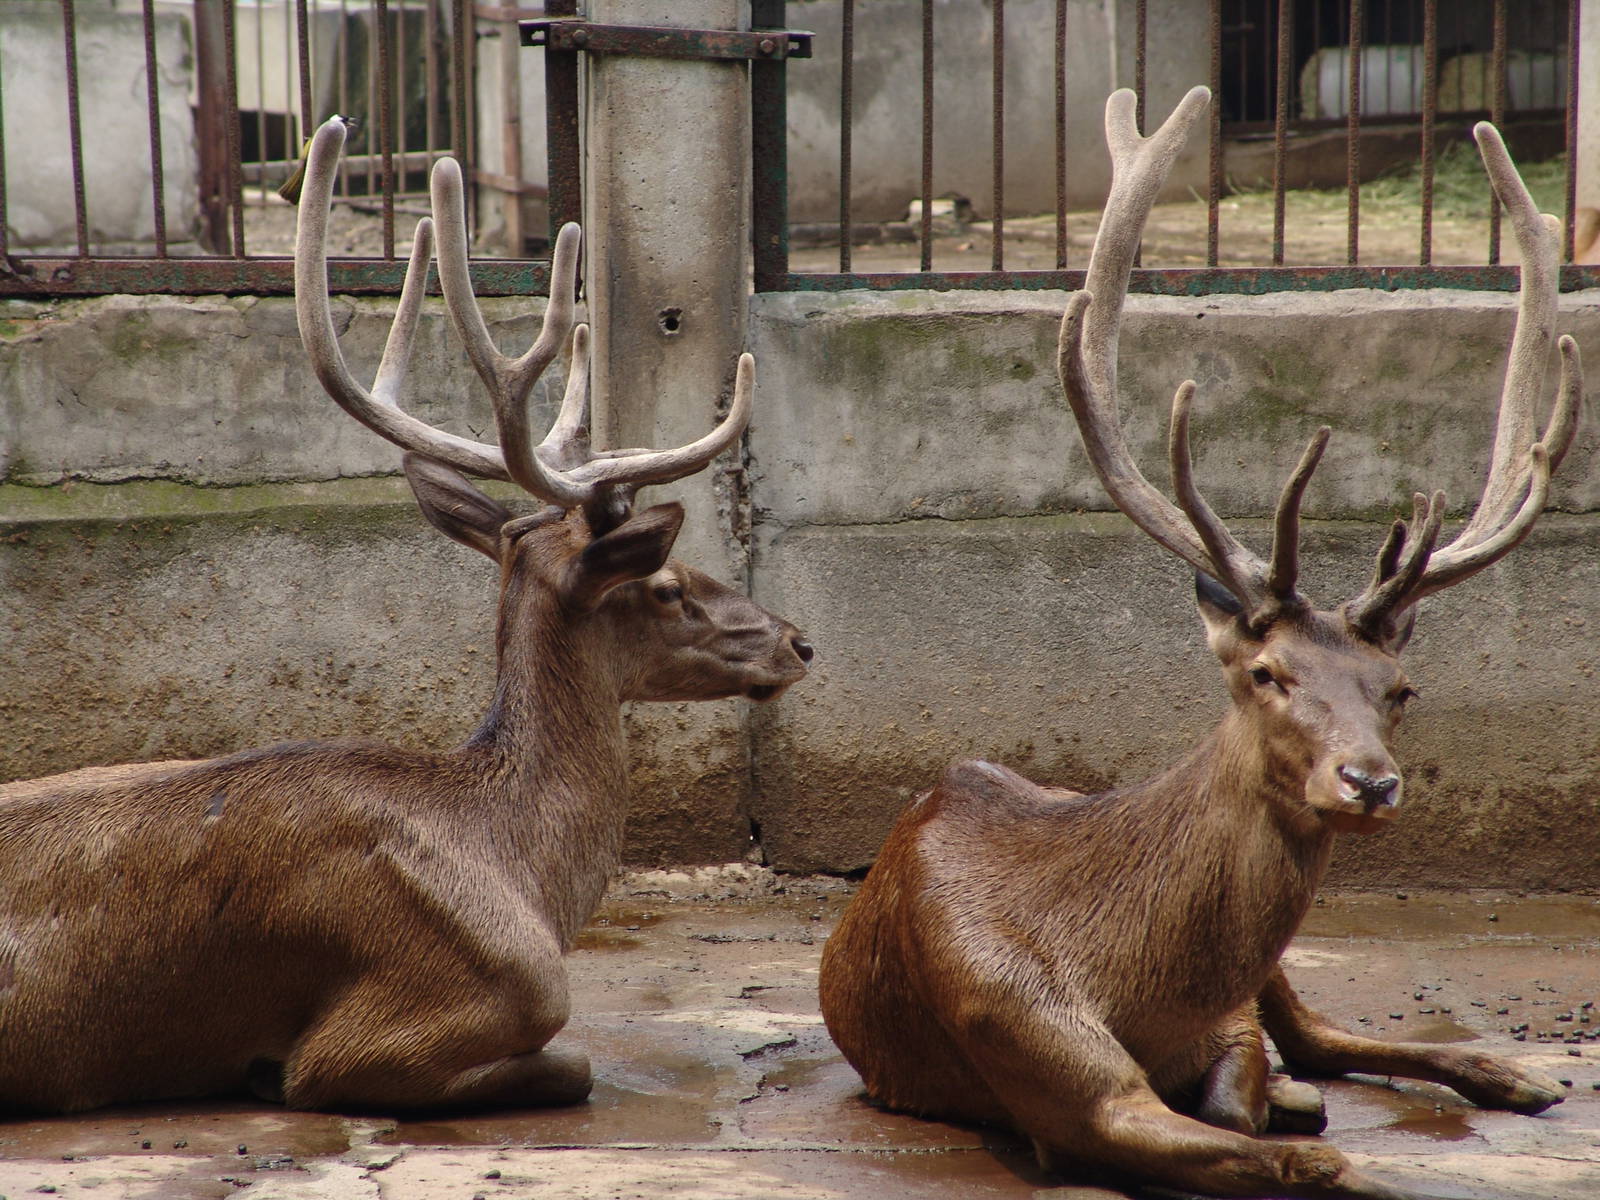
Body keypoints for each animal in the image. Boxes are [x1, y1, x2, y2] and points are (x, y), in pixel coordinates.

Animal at [818, 87, 1579, 1200]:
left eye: (1399, 687)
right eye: (1267, 673)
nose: (1368, 782)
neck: (1136, 983)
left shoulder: (1226, 1022)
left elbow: (1254, 1085)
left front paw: (1287, 1100)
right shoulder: (1045, 1059)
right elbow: (1306, 1159)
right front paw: (1324, 1142)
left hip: (1279, 977)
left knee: (1321, 1034)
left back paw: (1520, 1074)